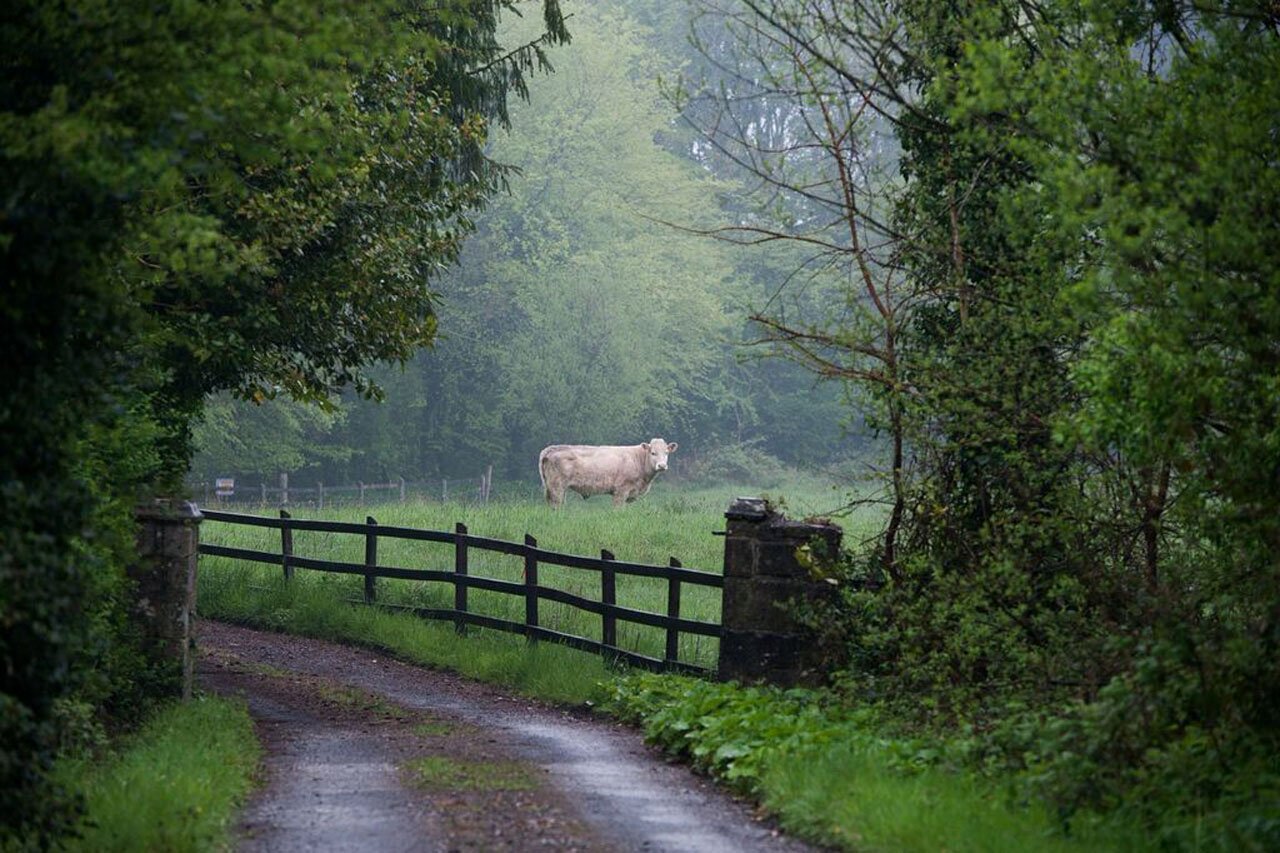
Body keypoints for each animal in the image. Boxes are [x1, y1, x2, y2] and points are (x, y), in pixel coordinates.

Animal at [539, 439, 679, 507]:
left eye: (666, 453)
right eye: (653, 453)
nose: (662, 465)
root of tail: (551, 449)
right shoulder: (621, 491)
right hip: (557, 487)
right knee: (557, 505)